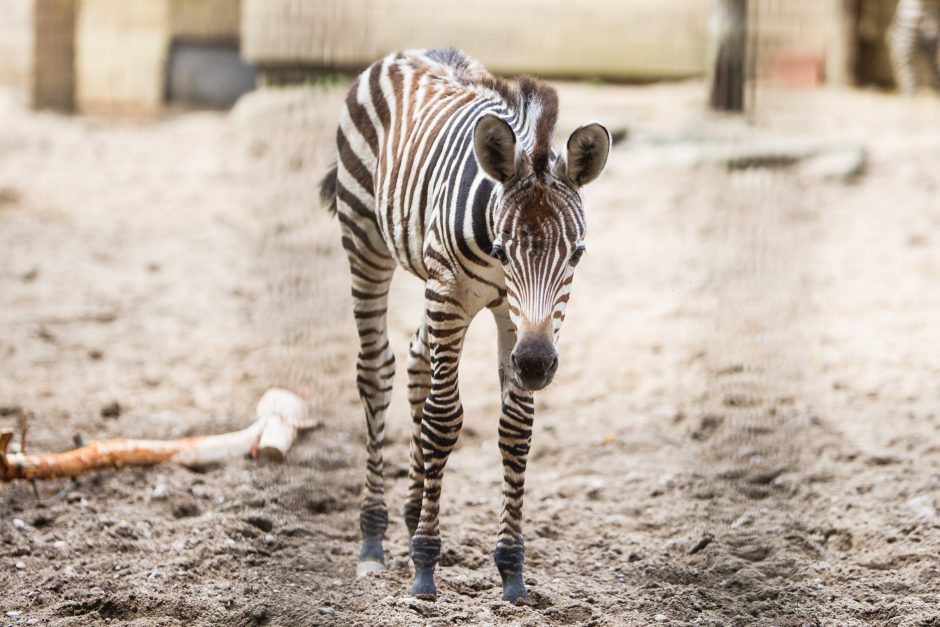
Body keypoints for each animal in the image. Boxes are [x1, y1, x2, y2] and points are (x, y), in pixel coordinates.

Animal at [324, 49, 612, 604]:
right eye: (502, 250)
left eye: (577, 255)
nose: (537, 365)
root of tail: (406, 53)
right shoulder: (453, 294)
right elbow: (443, 421)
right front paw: (424, 566)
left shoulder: (515, 320)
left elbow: (515, 429)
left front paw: (512, 570)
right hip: (366, 240)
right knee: (376, 372)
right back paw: (373, 538)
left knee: (417, 362)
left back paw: (413, 510)